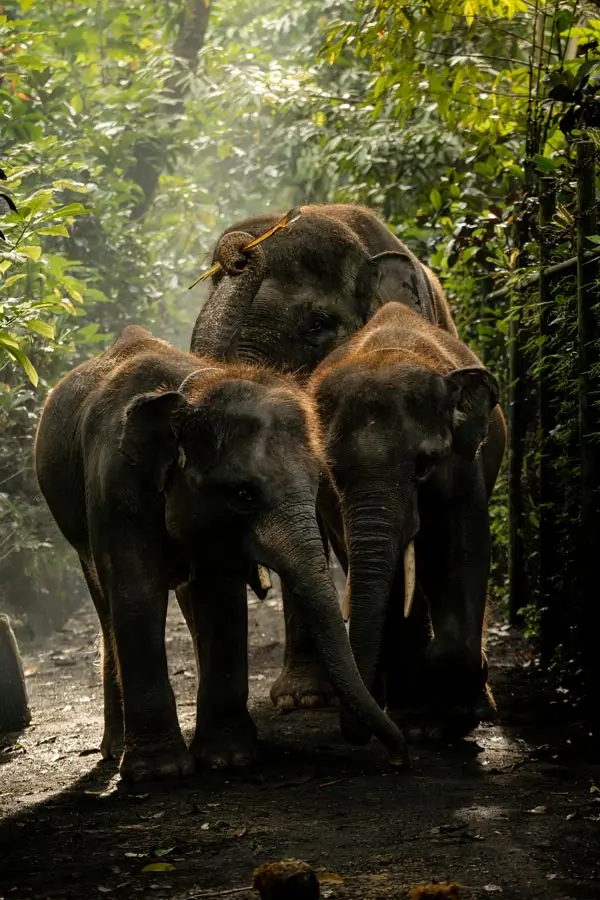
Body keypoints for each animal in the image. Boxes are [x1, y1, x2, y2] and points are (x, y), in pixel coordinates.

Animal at [34, 233, 409, 782]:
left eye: (317, 486)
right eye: (244, 495)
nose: (400, 756)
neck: (187, 395)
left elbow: (219, 594)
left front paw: (230, 760)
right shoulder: (114, 485)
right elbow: (136, 591)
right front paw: (161, 774)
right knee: (106, 605)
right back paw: (113, 751)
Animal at [308, 301, 506, 743]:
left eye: (423, 466)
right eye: (334, 473)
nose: (353, 730)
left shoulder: (462, 469)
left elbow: (463, 552)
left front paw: (460, 716)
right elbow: (398, 586)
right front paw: (420, 725)